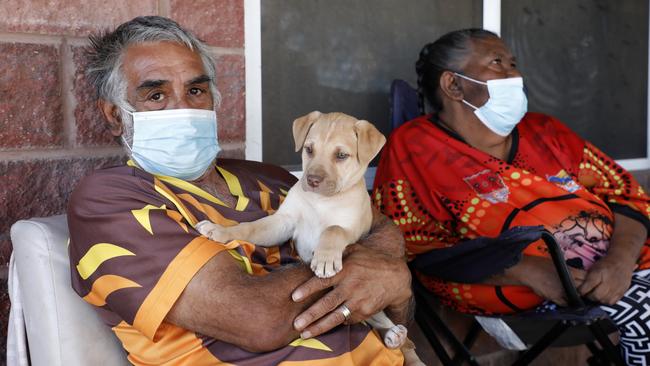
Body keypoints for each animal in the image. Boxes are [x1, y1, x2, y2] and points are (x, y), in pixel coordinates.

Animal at [195, 111, 422, 364]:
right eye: (309, 149)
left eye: (341, 155)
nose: (312, 180)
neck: (321, 201)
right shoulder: (282, 222)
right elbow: (250, 227)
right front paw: (219, 230)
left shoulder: (353, 229)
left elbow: (333, 229)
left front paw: (324, 260)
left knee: (381, 318)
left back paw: (395, 334)